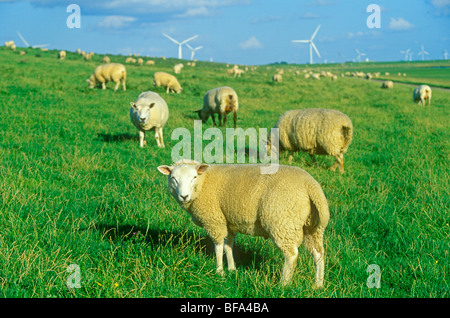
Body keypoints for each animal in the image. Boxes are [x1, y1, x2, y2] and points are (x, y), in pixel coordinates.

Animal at [156, 160, 328, 286]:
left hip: (282, 222)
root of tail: (310, 185)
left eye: (194, 177)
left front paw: (219, 271)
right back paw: (318, 285)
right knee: (318, 253)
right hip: (312, 226)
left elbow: (218, 246)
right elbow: (228, 245)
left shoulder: (214, 220)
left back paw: (283, 284)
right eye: (173, 178)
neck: (204, 183)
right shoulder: (229, 221)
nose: (184, 196)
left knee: (291, 254)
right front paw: (232, 269)